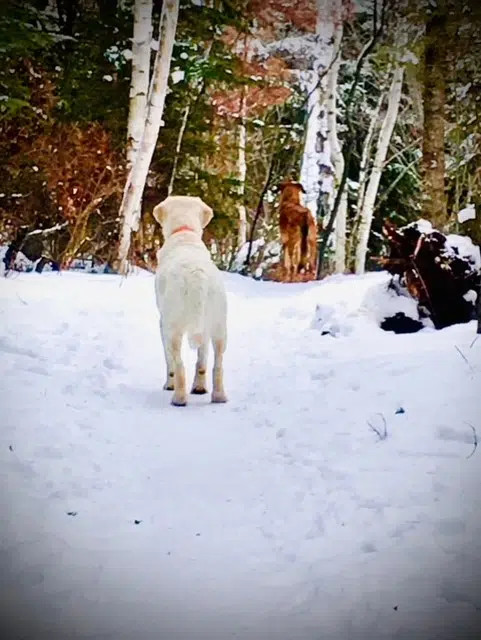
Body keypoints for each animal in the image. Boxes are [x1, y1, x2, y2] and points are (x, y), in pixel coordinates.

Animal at [154, 194, 229, 404]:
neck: (184, 231)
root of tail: (197, 274)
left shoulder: (162, 323)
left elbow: (169, 360)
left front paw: (169, 385)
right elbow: (202, 359)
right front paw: (200, 387)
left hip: (173, 328)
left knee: (178, 364)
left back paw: (178, 397)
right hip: (219, 326)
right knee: (217, 364)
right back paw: (217, 396)